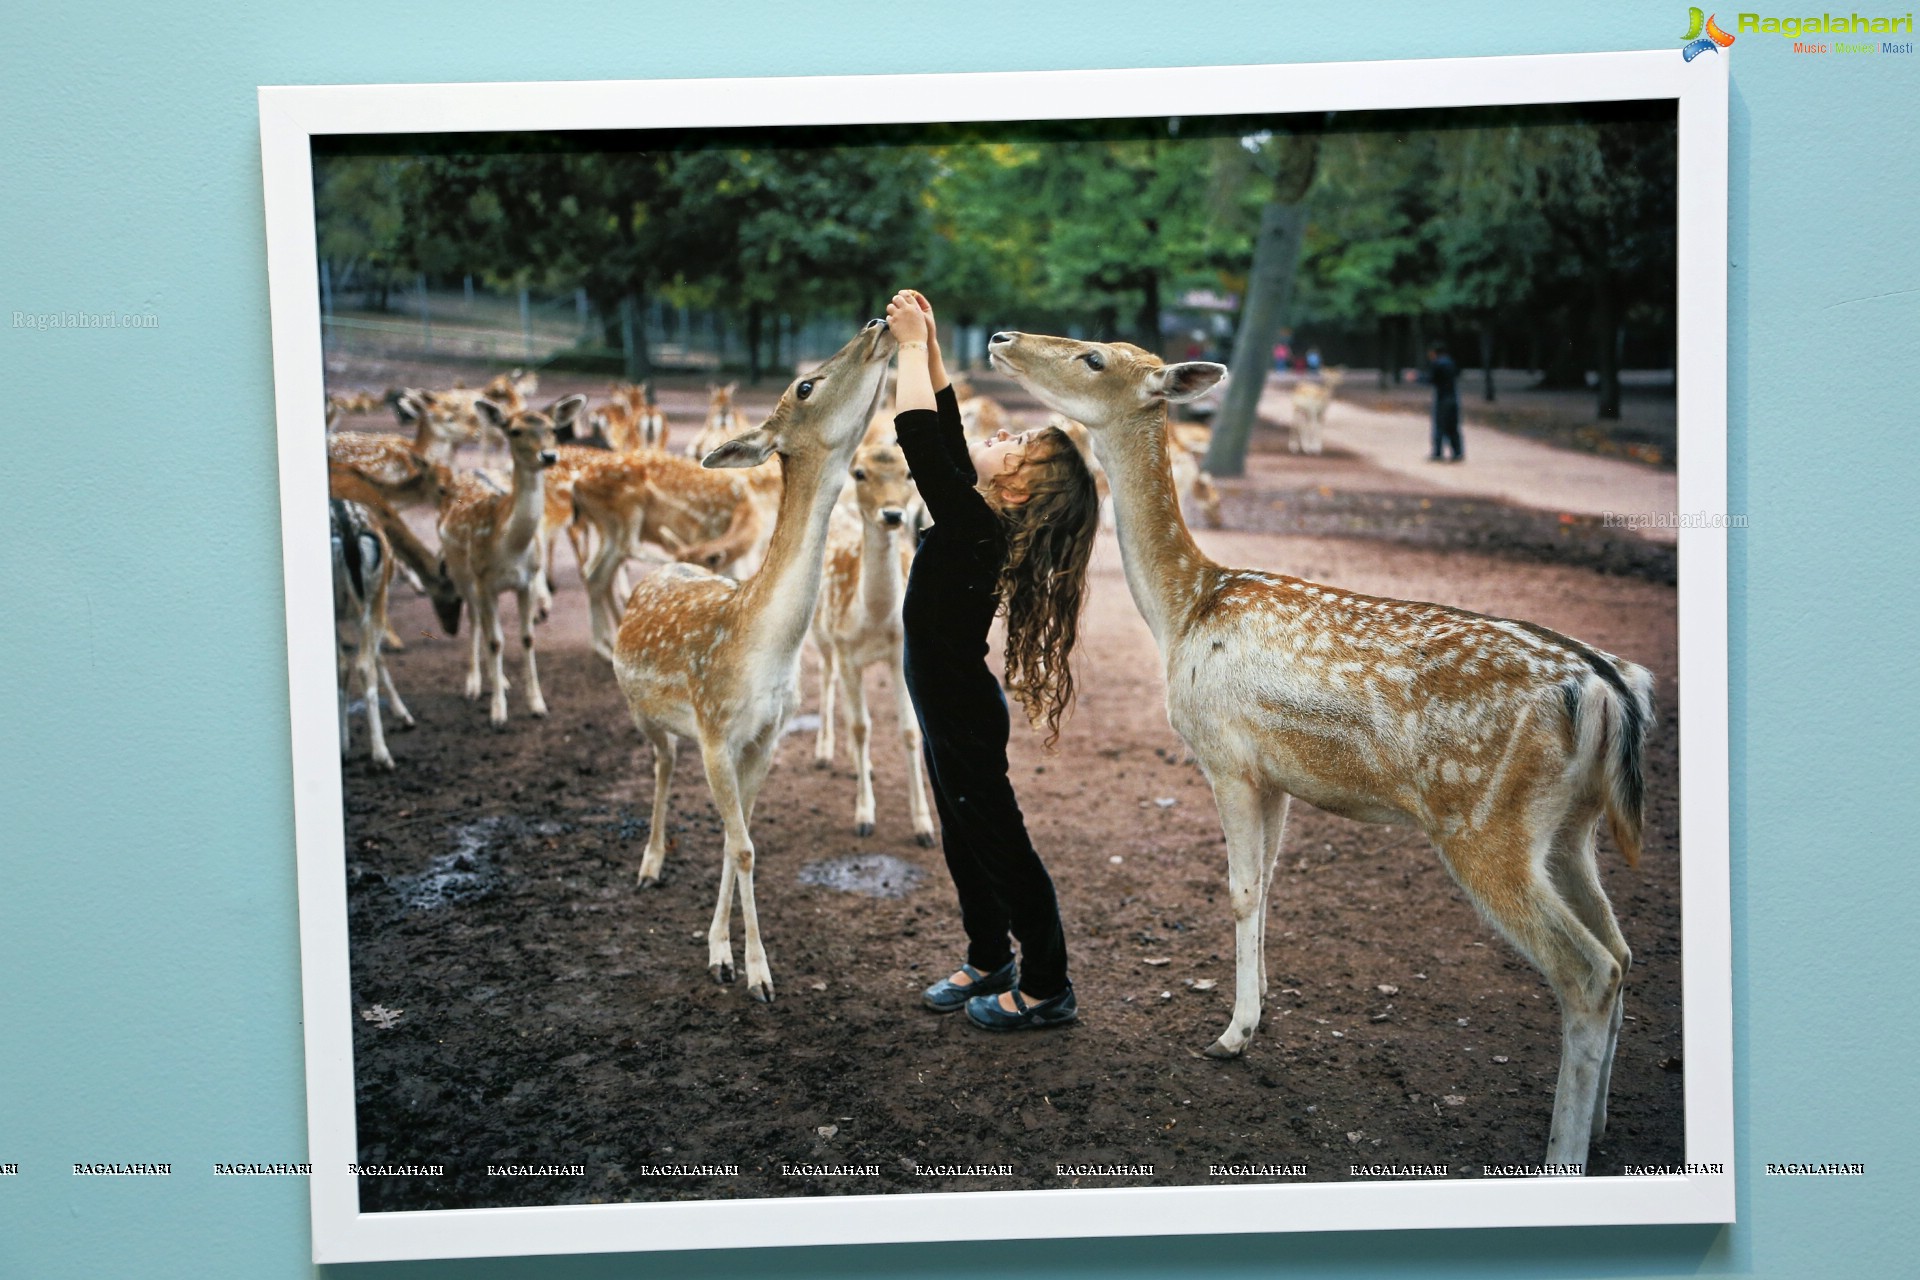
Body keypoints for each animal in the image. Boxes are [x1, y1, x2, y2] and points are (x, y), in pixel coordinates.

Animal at [439, 395, 579, 725]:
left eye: (553, 428)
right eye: (514, 431)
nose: (548, 455)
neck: (510, 547)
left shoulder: (526, 581)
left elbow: (526, 638)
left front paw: (538, 705)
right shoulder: (484, 582)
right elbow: (495, 641)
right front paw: (498, 713)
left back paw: (500, 680)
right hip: (461, 573)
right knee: (476, 621)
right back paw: (475, 684)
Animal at [610, 320, 894, 997]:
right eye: (805, 385)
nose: (877, 325)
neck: (762, 649)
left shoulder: (765, 736)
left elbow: (734, 839)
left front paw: (722, 952)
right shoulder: (716, 731)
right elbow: (742, 846)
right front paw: (756, 973)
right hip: (642, 711)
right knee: (661, 763)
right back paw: (649, 863)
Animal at [806, 441, 933, 852]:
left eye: (909, 472)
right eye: (860, 472)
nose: (892, 514)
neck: (875, 621)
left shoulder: (899, 654)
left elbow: (909, 730)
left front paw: (924, 826)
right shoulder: (847, 650)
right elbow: (862, 726)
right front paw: (864, 817)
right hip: (822, 634)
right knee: (827, 677)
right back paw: (825, 751)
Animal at [990, 330, 1651, 1174]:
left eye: (1095, 359)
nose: (1002, 338)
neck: (1182, 610)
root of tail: (1610, 690)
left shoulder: (1226, 755)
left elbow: (1240, 890)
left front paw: (1232, 1035)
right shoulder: (1274, 774)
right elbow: (1269, 886)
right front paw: (1261, 1012)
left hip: (1484, 824)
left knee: (1587, 970)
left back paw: (1563, 1153)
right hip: (1571, 829)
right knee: (1621, 951)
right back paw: (1597, 1129)